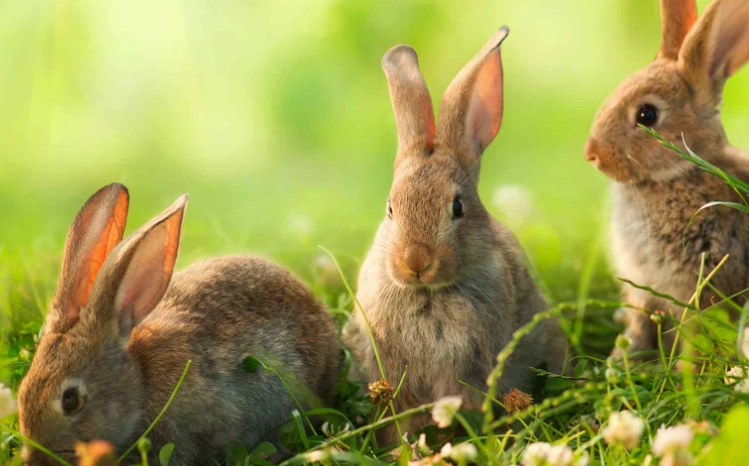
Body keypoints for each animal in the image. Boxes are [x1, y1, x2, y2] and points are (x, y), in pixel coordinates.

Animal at [584, 0, 749, 359]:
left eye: (647, 115)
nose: (592, 154)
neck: (678, 173)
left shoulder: (702, 287)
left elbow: (697, 335)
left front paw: (686, 367)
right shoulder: (643, 290)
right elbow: (639, 324)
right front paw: (621, 358)